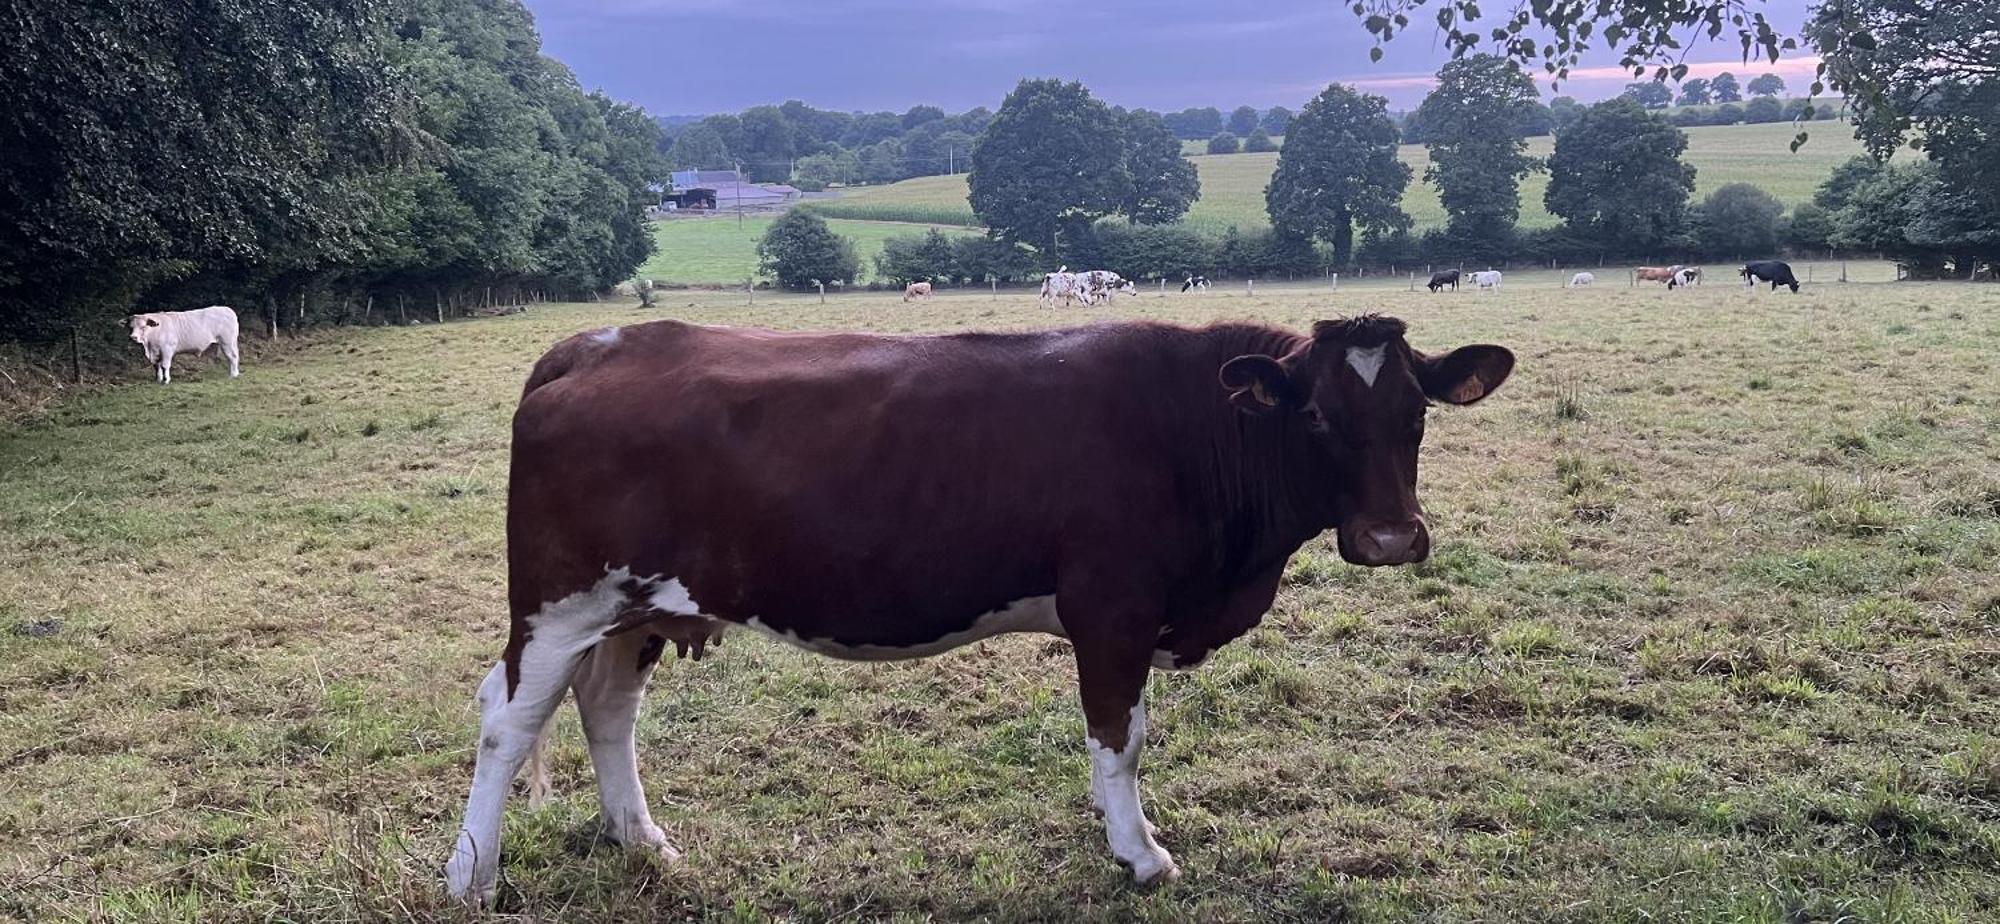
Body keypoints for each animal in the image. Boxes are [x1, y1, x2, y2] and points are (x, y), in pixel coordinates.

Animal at [450, 314, 1512, 900]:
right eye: (1319, 418)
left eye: (1416, 414)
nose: (1390, 538)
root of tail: (596, 343)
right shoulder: (1112, 609)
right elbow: (1121, 741)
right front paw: (1141, 855)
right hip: (558, 599)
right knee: (507, 719)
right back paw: (473, 876)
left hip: (635, 606)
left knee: (607, 712)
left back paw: (643, 841)